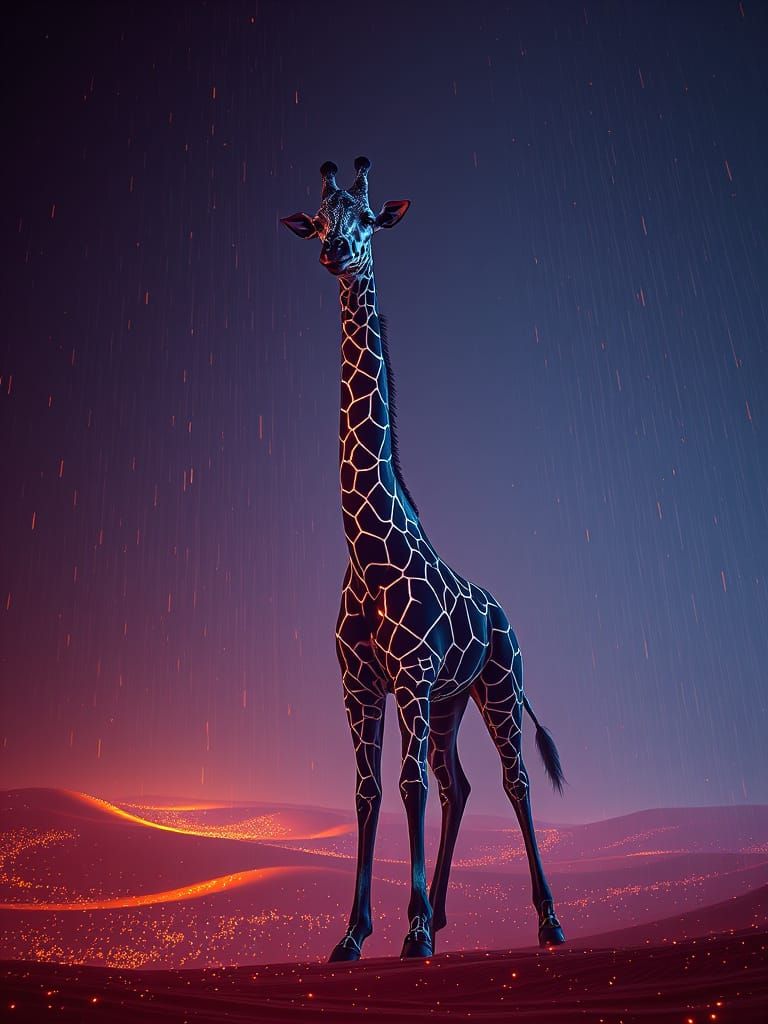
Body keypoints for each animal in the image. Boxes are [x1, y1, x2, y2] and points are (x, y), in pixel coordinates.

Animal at [281, 157, 566, 961]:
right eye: (318, 220)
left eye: (366, 220)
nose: (334, 254)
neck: (365, 545)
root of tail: (505, 614)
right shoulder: (358, 685)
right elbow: (368, 791)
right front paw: (354, 933)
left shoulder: (409, 675)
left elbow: (404, 787)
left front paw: (405, 931)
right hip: (448, 703)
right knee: (456, 783)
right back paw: (439, 913)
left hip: (498, 685)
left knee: (512, 780)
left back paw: (546, 921)